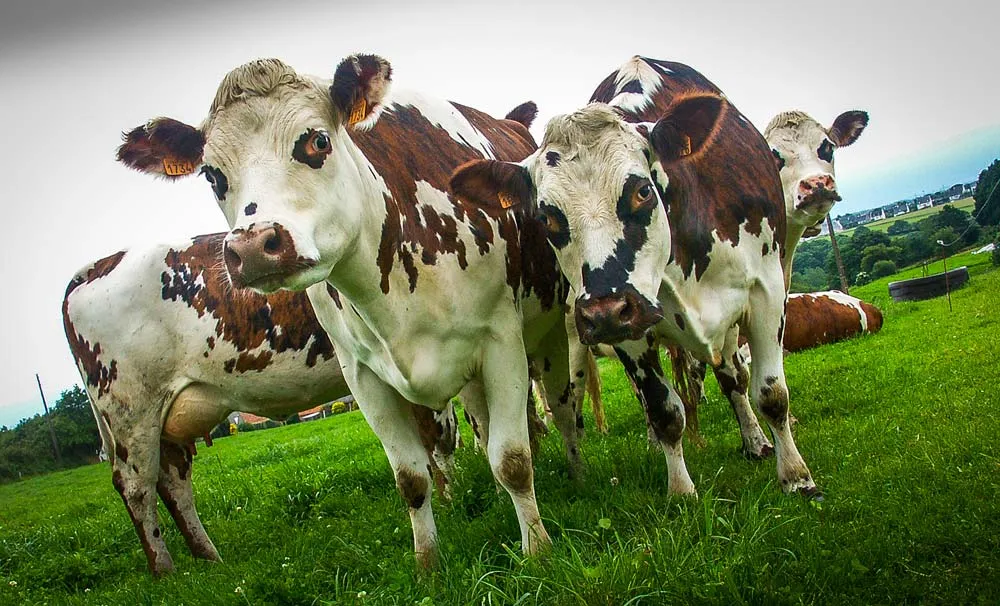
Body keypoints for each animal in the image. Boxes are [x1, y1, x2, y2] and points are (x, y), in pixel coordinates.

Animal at [115, 54, 579, 567]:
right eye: (213, 175)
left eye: (317, 141)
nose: (253, 248)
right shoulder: (364, 375)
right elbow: (411, 478)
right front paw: (428, 563)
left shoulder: (500, 343)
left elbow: (511, 459)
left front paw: (538, 550)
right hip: (132, 418)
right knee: (143, 484)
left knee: (559, 407)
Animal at [451, 57, 818, 498]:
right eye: (547, 217)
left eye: (642, 191)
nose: (604, 312)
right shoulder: (629, 328)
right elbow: (663, 411)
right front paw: (681, 491)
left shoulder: (766, 290)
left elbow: (771, 393)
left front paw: (796, 475)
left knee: (733, 377)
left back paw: (755, 440)